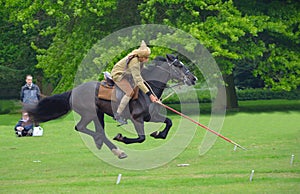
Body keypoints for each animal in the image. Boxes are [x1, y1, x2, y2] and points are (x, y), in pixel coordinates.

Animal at [26, 53, 197, 158]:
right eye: (179, 65)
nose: (193, 78)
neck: (146, 90)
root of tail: (73, 91)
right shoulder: (137, 119)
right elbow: (141, 138)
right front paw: (122, 138)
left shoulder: (151, 117)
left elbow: (169, 122)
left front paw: (158, 134)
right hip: (89, 114)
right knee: (83, 128)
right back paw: (111, 146)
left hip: (98, 114)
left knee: (97, 131)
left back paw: (111, 148)